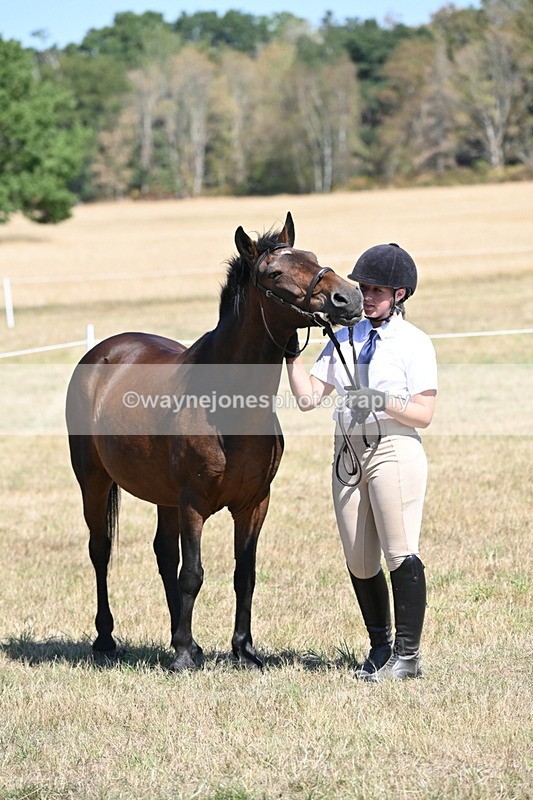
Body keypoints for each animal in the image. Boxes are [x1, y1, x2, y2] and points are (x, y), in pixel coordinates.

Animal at [66, 212, 363, 670]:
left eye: (312, 257)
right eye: (275, 273)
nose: (348, 297)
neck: (226, 406)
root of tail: (100, 354)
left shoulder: (254, 503)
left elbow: (244, 574)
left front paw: (242, 649)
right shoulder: (193, 502)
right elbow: (194, 574)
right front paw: (184, 657)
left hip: (163, 497)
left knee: (163, 555)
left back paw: (180, 638)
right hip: (94, 481)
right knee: (101, 550)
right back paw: (107, 638)